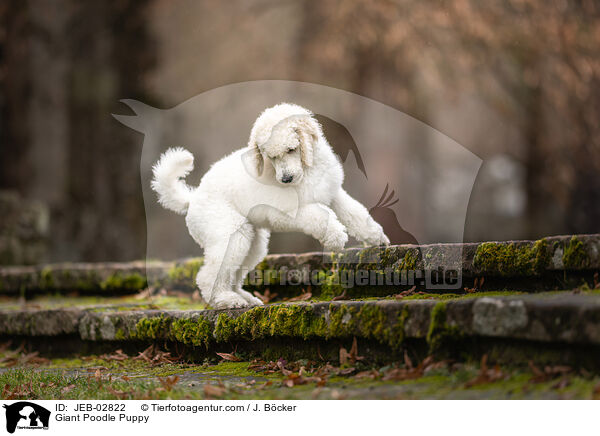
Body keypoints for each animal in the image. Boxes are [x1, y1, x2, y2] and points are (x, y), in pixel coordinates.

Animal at [150, 102, 390, 308]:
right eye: (271, 157)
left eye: (292, 149)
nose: (285, 179)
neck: (306, 172)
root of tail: (194, 198)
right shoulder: (287, 211)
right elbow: (319, 216)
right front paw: (336, 237)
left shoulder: (333, 194)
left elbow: (356, 214)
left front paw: (377, 238)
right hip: (231, 233)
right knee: (209, 276)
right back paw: (227, 300)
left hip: (252, 242)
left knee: (233, 273)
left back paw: (245, 298)